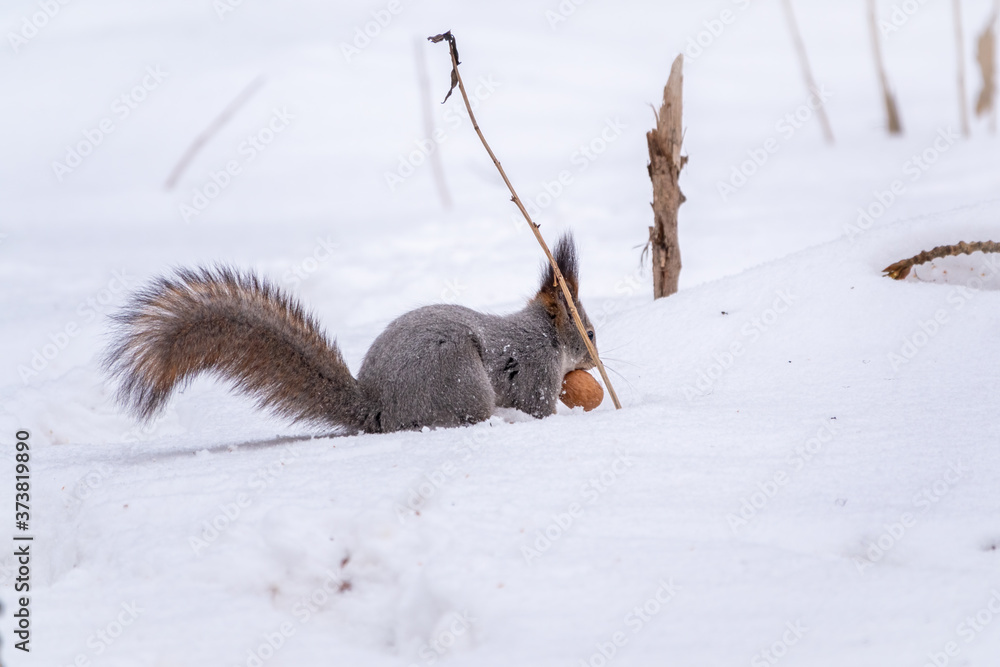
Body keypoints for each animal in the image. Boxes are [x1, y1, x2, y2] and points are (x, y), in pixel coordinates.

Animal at [103, 233, 598, 434]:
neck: (544, 335)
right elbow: (538, 409)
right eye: (589, 332)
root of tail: (379, 408)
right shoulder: (536, 373)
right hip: (458, 377)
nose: (596, 361)